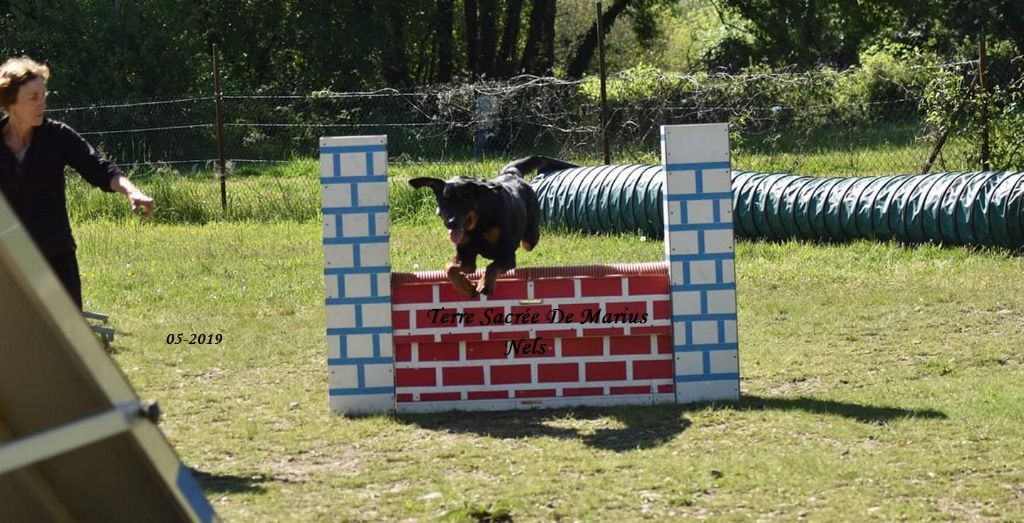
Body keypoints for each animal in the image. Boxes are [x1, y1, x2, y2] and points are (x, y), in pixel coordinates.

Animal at [411, 155, 581, 296]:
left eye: (465, 199)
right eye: (444, 201)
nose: (450, 222)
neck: (478, 224)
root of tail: (511, 173)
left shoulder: (507, 254)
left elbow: (492, 267)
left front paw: (484, 284)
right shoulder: (466, 256)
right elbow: (450, 267)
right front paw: (465, 286)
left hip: (530, 238)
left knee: (526, 242)